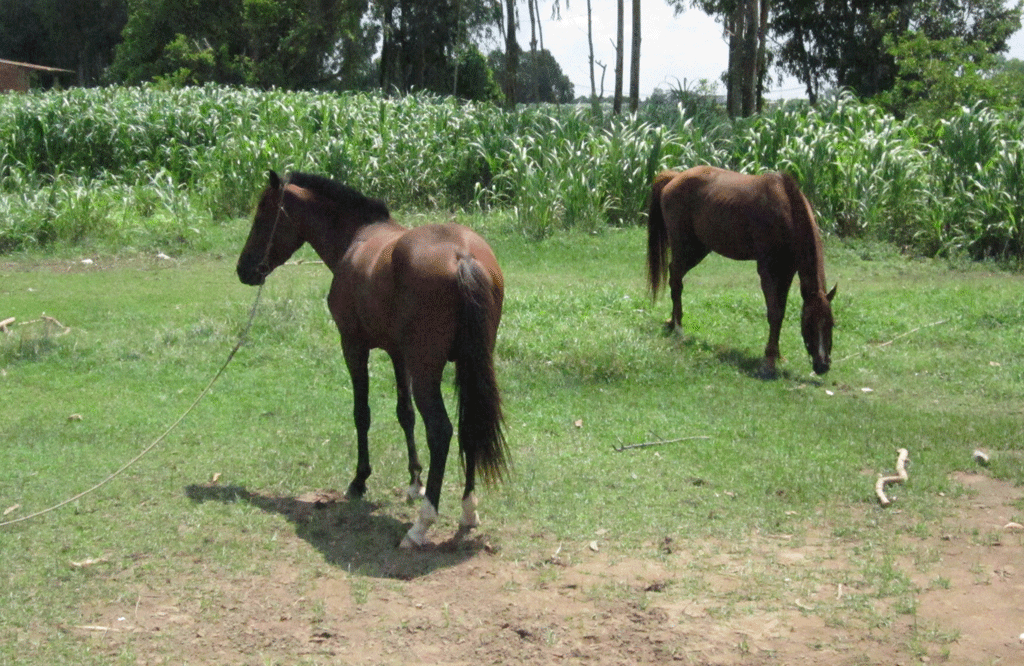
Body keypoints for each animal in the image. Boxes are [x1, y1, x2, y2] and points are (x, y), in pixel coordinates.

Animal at [240, 170, 512, 545]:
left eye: (263, 215)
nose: (244, 269)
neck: (357, 238)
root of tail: (462, 256)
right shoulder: (398, 354)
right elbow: (404, 414)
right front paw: (414, 481)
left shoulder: (353, 346)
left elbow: (362, 413)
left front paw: (359, 481)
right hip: (470, 366)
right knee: (468, 424)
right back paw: (468, 510)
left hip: (427, 370)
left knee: (440, 430)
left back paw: (421, 524)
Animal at [647, 164, 839, 372]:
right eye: (809, 324)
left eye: (831, 324)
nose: (823, 365)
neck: (786, 211)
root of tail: (675, 177)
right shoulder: (767, 271)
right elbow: (774, 313)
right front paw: (769, 360)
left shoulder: (787, 271)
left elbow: (781, 311)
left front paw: (777, 354)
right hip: (685, 247)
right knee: (676, 279)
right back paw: (678, 328)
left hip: (699, 248)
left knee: (675, 276)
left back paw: (671, 322)